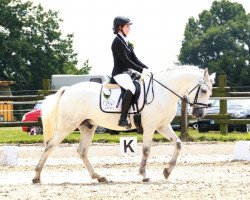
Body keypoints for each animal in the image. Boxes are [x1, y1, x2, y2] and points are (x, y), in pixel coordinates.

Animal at [31, 65, 215, 183]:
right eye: (204, 90)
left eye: (210, 91)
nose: (199, 114)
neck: (163, 92)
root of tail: (68, 90)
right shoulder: (150, 127)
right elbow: (146, 150)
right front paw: (144, 175)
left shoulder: (163, 126)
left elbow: (178, 144)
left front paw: (167, 171)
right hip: (67, 126)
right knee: (50, 145)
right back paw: (36, 176)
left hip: (87, 126)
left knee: (82, 151)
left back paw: (99, 177)